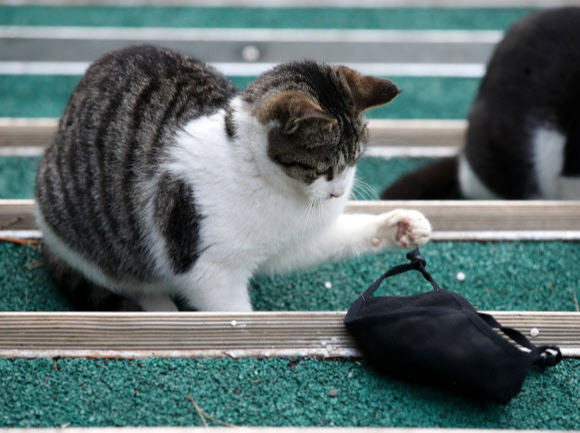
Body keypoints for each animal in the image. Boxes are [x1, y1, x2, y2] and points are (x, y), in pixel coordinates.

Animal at [32, 45, 430, 310]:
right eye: (324, 168)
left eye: (354, 160)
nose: (340, 191)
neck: (281, 191)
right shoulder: (208, 271)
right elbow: (234, 315)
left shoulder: (289, 245)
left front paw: (399, 226)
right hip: (90, 235)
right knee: (131, 278)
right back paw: (161, 307)